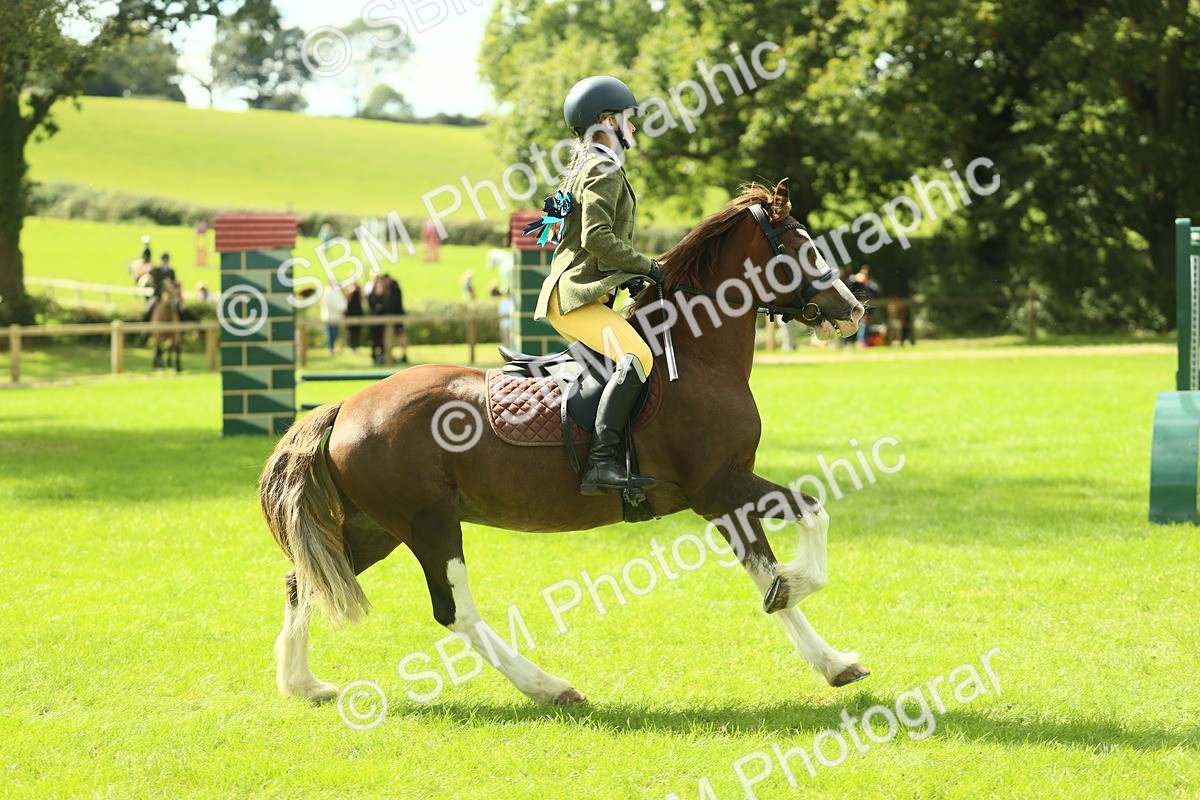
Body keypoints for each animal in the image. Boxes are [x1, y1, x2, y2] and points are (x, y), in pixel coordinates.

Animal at [260, 179, 870, 705]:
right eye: (803, 246)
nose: (854, 310)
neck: (698, 356)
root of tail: (346, 407)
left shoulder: (725, 491)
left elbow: (773, 558)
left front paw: (833, 662)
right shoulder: (719, 486)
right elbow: (804, 530)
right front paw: (796, 588)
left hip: (376, 527)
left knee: (304, 580)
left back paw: (303, 684)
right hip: (427, 523)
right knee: (454, 610)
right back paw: (548, 687)